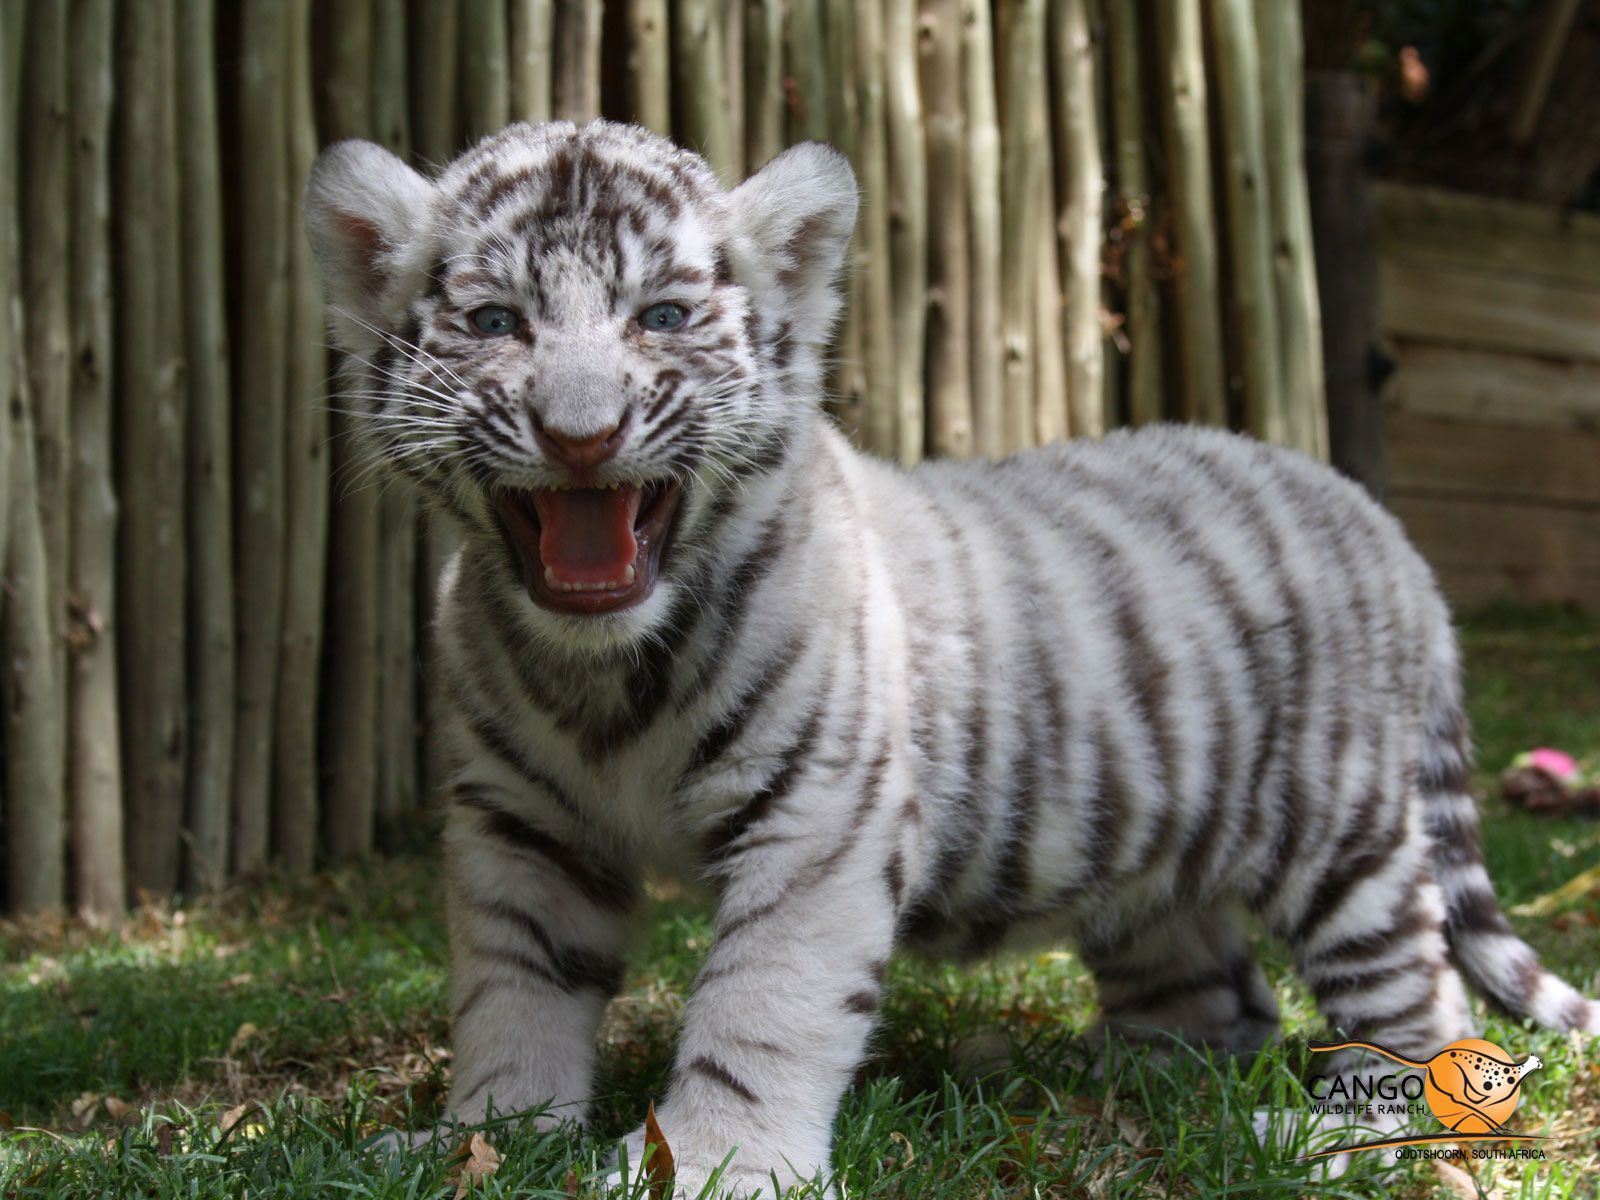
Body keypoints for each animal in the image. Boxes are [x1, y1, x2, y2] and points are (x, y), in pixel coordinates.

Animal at [303, 120, 1599, 1195]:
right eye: (495, 324)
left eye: (660, 318)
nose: (582, 436)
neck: (602, 671)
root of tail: (1379, 522)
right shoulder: (522, 824)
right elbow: (513, 988)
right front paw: (486, 1138)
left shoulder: (817, 816)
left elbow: (760, 1002)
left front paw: (714, 1161)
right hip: (1148, 858)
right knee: (1220, 1004)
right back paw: (1082, 1080)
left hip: (1339, 831)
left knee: (1415, 993)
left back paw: (1337, 1129)